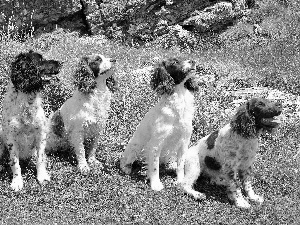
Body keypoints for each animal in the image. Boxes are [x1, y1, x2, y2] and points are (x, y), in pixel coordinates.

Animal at [0, 50, 61, 191]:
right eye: (41, 60)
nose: (61, 63)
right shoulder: (11, 138)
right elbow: (15, 163)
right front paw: (17, 182)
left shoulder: (41, 134)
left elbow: (40, 159)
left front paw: (42, 177)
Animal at [119, 57, 199, 191]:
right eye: (174, 62)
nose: (193, 61)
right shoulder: (156, 143)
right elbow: (154, 167)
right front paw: (156, 184)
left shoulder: (184, 141)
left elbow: (180, 165)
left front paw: (180, 180)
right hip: (135, 148)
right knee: (125, 160)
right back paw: (127, 168)